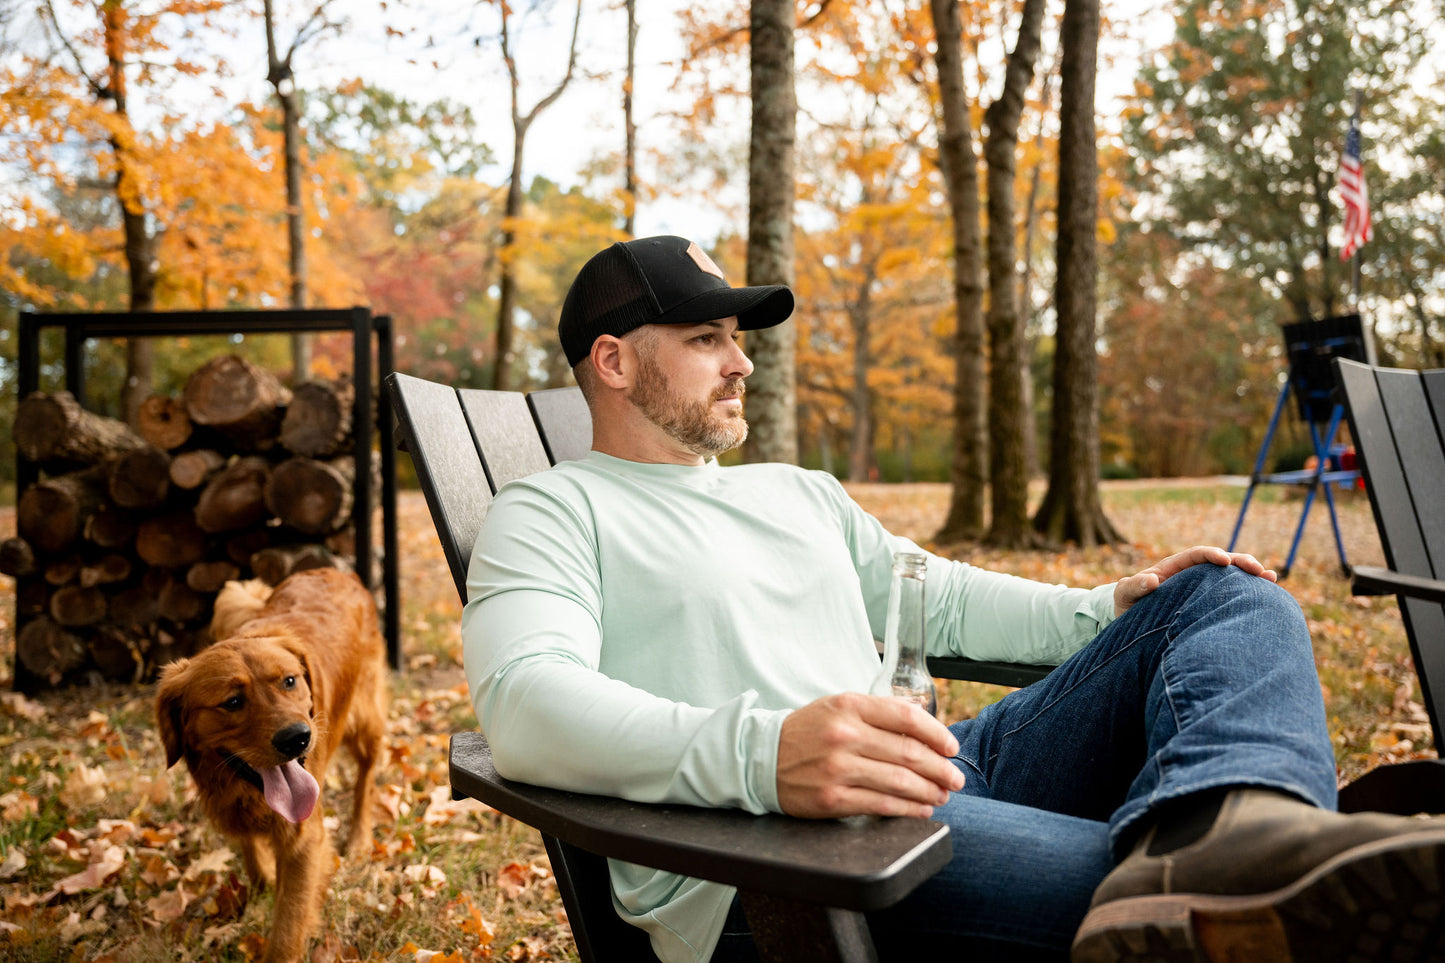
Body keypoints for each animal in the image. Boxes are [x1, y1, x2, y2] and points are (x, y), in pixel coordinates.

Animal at [157, 566, 387, 954]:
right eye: (233, 702)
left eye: (289, 681)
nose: (297, 737)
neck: (246, 792)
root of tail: (335, 570)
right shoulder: (233, 808)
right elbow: (253, 854)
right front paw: (262, 886)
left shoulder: (303, 839)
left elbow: (287, 927)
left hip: (363, 718)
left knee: (366, 777)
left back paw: (358, 840)